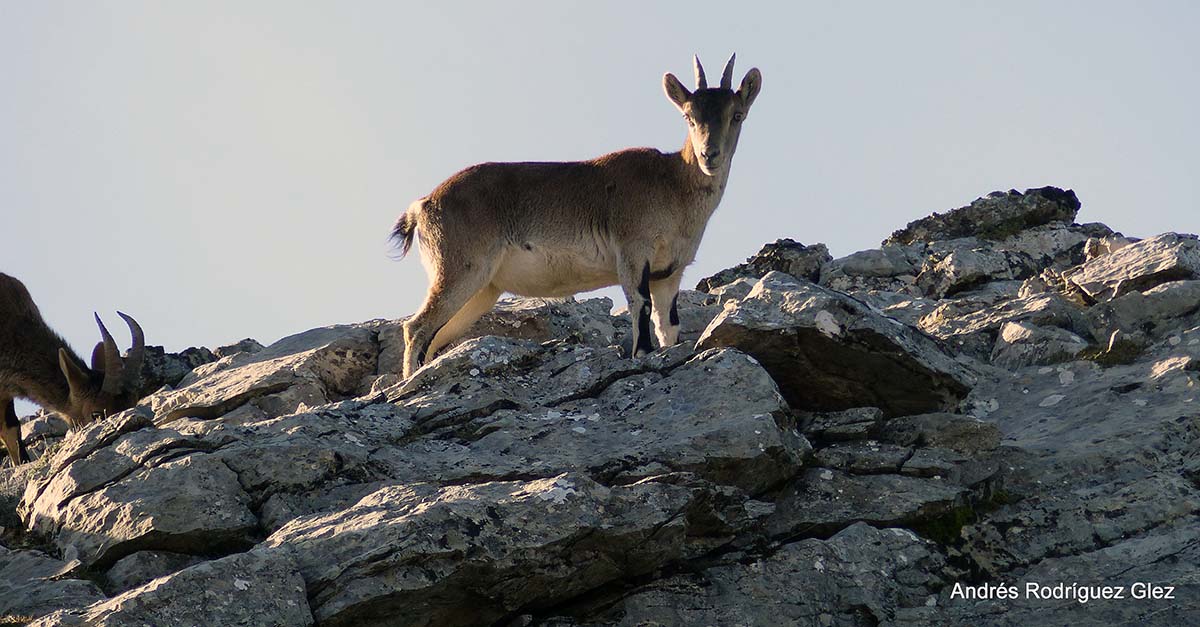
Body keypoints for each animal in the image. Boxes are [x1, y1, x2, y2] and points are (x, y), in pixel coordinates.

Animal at [391, 54, 762, 377]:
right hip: (459, 268)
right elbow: (640, 308)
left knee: (434, 336)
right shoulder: (632, 252)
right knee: (416, 328)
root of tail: (422, 206)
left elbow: (667, 324)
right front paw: (642, 356)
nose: (709, 155)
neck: (672, 185)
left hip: (482, 289)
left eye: (737, 115)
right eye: (688, 116)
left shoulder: (669, 273)